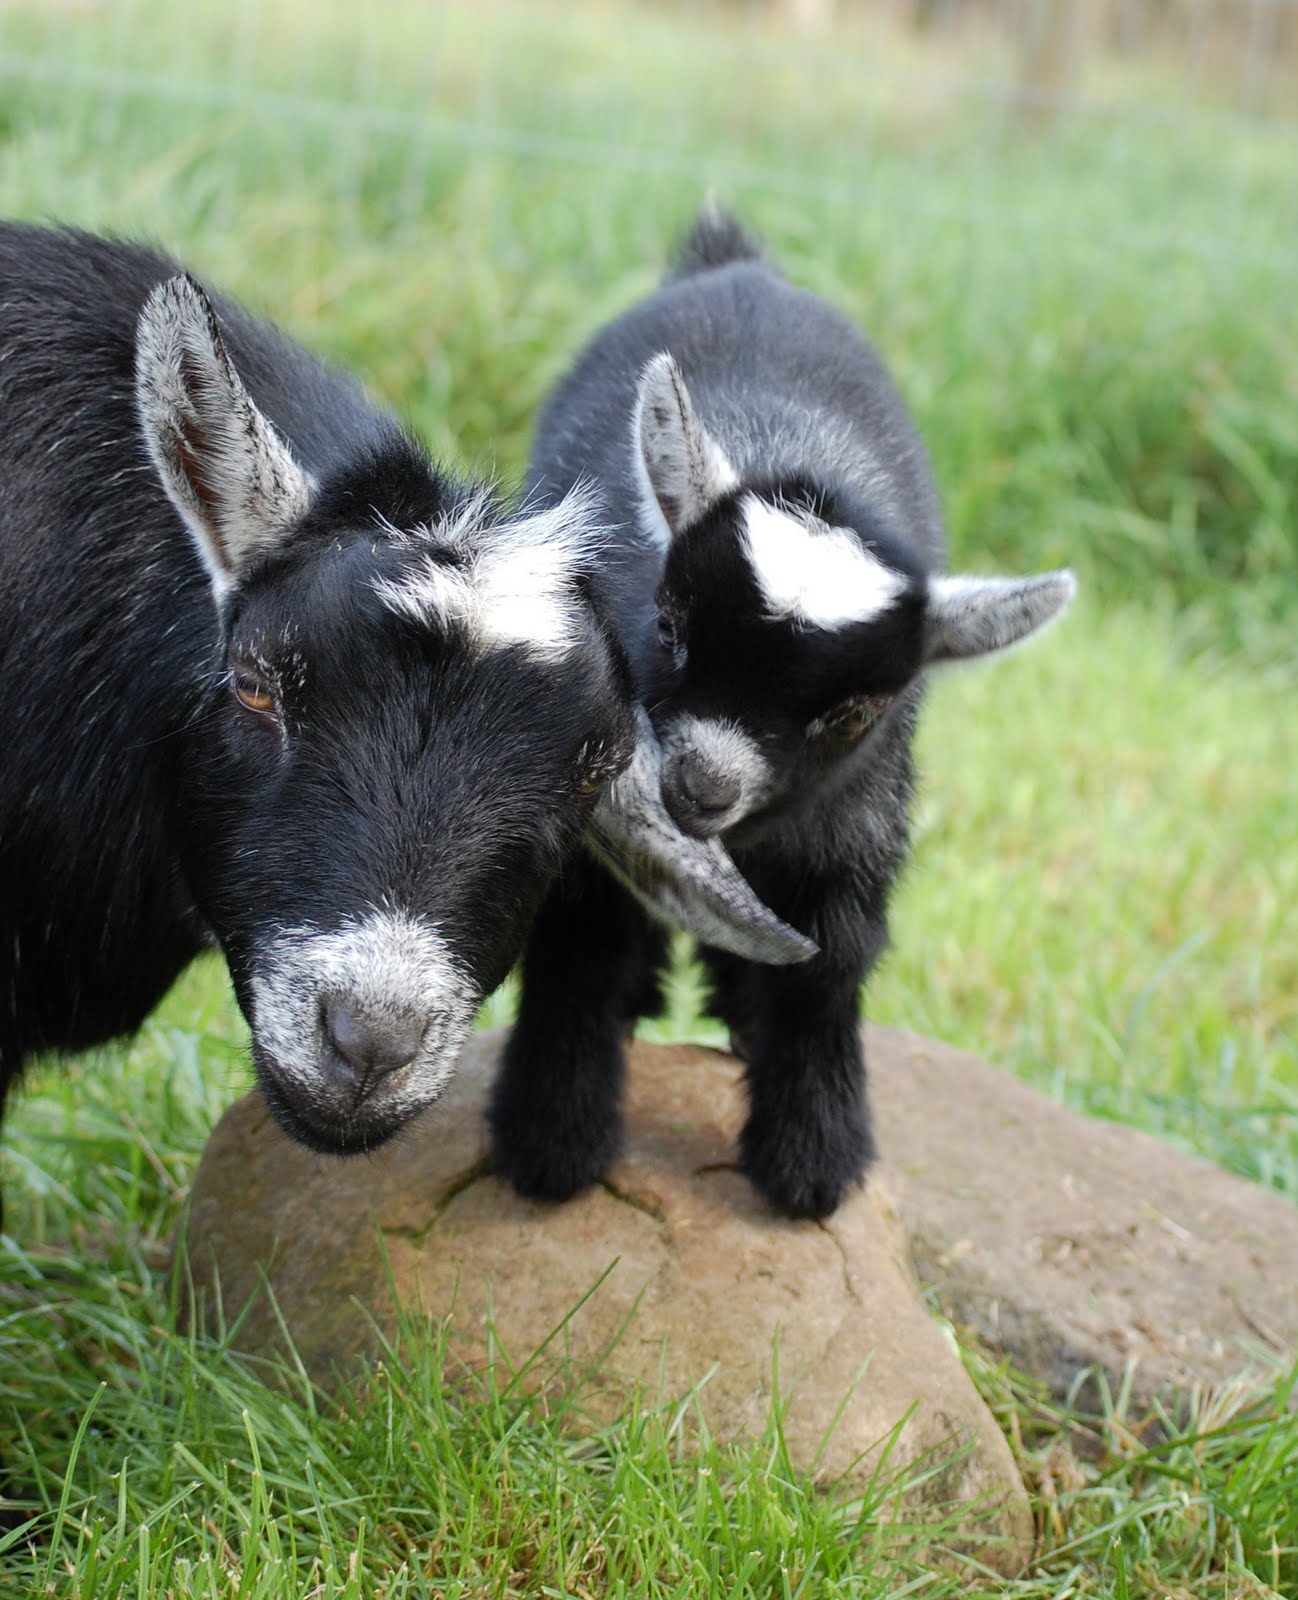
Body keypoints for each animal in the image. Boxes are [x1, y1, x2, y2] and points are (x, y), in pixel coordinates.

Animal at [492, 207, 1074, 1218]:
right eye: (669, 625)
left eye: (854, 715)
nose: (700, 785)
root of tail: (739, 265)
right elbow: (579, 942)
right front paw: (551, 1141)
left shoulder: (855, 830)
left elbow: (827, 971)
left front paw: (812, 1162)